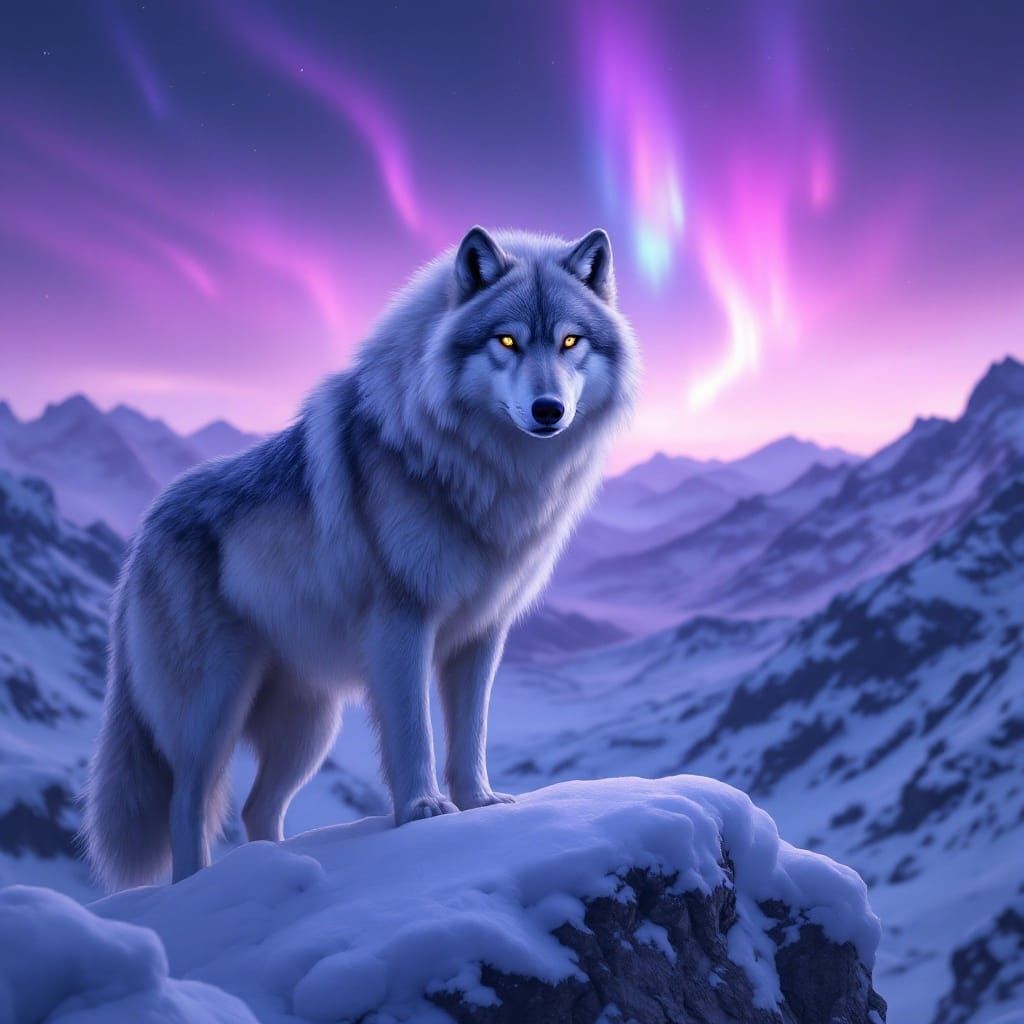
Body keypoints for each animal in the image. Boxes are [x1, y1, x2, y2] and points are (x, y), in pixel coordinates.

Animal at [83, 226, 639, 888]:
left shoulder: (482, 634)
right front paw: (425, 811)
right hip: (212, 709)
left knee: (256, 807)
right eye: (507, 340)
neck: (483, 472)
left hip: (308, 726)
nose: (549, 410)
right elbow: (414, 732)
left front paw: (479, 804)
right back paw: (200, 888)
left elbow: (471, 734)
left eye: (570, 341)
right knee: (188, 805)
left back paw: (279, 869)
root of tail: (139, 536)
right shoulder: (402, 622)